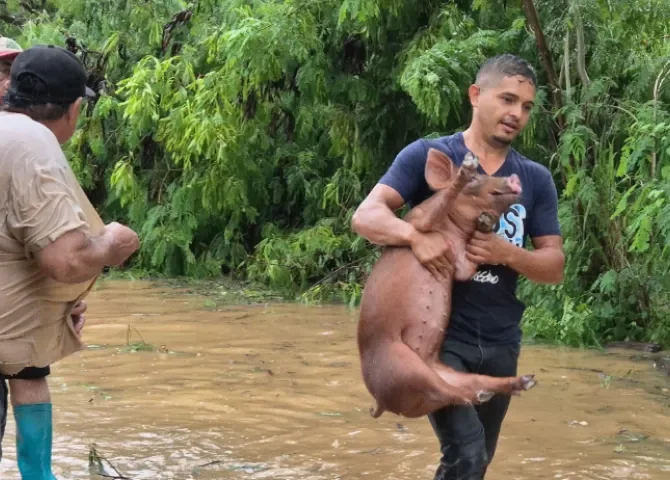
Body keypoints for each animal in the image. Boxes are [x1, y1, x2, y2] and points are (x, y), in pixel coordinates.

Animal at [360, 148, 540, 418]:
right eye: (475, 179)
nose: (513, 177)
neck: (453, 230)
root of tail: (381, 402)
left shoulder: (460, 262)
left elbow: (467, 267)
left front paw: (486, 223)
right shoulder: (419, 221)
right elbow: (434, 211)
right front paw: (467, 166)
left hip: (440, 372)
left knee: (465, 384)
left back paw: (525, 381)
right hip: (402, 363)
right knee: (449, 391)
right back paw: (491, 392)